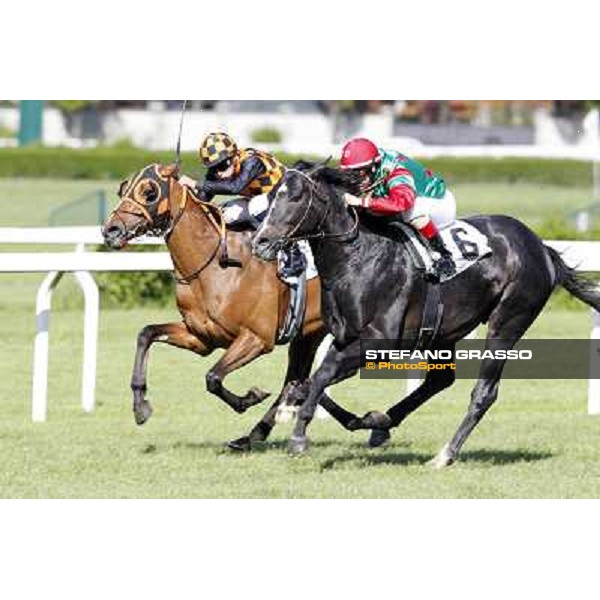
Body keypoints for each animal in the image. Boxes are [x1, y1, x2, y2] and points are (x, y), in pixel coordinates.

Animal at [102, 162, 328, 448]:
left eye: (149, 192)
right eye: (122, 189)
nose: (111, 230)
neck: (215, 266)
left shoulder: (257, 338)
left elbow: (213, 377)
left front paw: (249, 398)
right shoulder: (200, 337)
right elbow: (147, 333)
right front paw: (140, 406)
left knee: (297, 380)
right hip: (308, 333)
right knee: (295, 379)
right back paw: (254, 434)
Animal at [252, 164, 600, 468]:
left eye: (295, 197)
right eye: (272, 197)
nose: (260, 242)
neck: (358, 258)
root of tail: (541, 247)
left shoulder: (379, 343)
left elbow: (320, 376)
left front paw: (298, 435)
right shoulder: (344, 337)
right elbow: (313, 380)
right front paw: (353, 417)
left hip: (507, 322)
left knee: (484, 392)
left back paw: (445, 454)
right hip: (443, 333)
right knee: (439, 380)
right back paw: (383, 423)